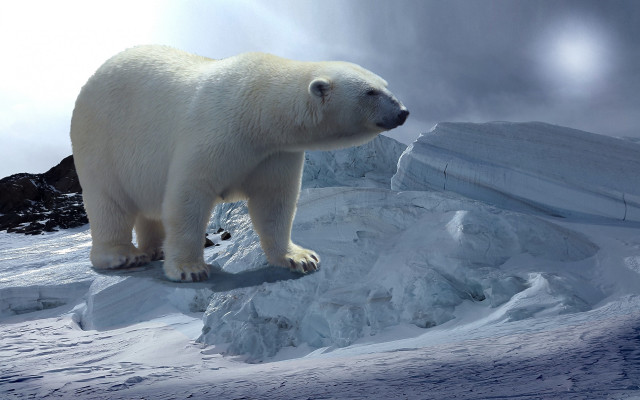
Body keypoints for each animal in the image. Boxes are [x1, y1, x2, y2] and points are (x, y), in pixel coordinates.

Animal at [70, 45, 409, 282]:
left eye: (385, 84)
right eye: (370, 92)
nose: (403, 111)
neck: (258, 110)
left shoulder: (274, 153)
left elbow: (274, 201)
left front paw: (300, 258)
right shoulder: (215, 131)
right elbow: (188, 195)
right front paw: (189, 269)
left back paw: (155, 249)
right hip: (101, 142)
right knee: (109, 201)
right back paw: (123, 255)